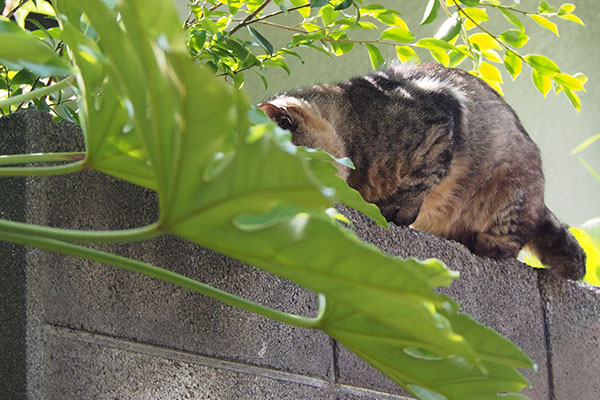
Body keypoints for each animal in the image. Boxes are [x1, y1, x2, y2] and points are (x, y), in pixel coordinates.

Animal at [258, 63, 584, 282]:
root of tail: (540, 201)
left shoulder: (440, 122)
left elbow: (421, 179)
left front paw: (396, 210)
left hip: (512, 189)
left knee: (515, 237)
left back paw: (488, 243)